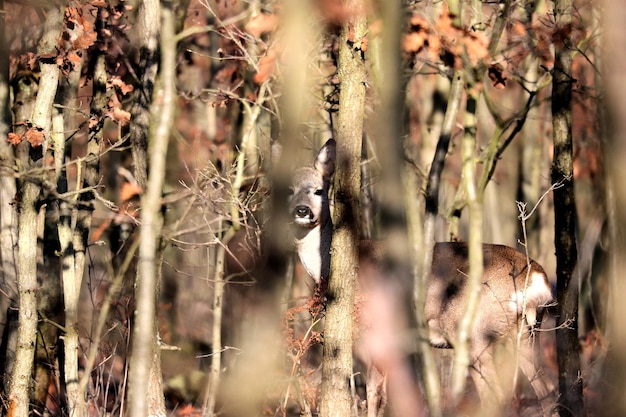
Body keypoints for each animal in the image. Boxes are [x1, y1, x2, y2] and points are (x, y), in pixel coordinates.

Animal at [286, 139, 552, 412]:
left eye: (319, 191)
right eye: (288, 189)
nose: (302, 210)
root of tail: (535, 276)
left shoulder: (373, 330)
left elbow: (373, 391)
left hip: (477, 332)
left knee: (496, 394)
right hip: (526, 333)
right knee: (547, 389)